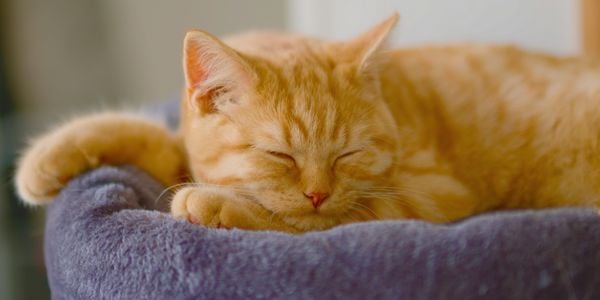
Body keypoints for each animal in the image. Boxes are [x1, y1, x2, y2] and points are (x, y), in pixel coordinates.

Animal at [12, 14, 600, 233]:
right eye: (280, 155)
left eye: (347, 154)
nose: (317, 191)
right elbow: (160, 139)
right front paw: (48, 158)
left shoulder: (431, 194)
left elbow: (317, 222)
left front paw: (220, 204)